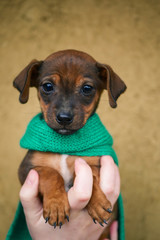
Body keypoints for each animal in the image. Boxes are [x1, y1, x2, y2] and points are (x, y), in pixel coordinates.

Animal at [13, 49, 126, 235]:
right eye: (47, 86)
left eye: (87, 89)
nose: (64, 118)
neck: (64, 144)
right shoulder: (27, 169)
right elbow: (51, 173)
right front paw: (56, 206)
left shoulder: (96, 163)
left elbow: (91, 174)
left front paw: (98, 204)